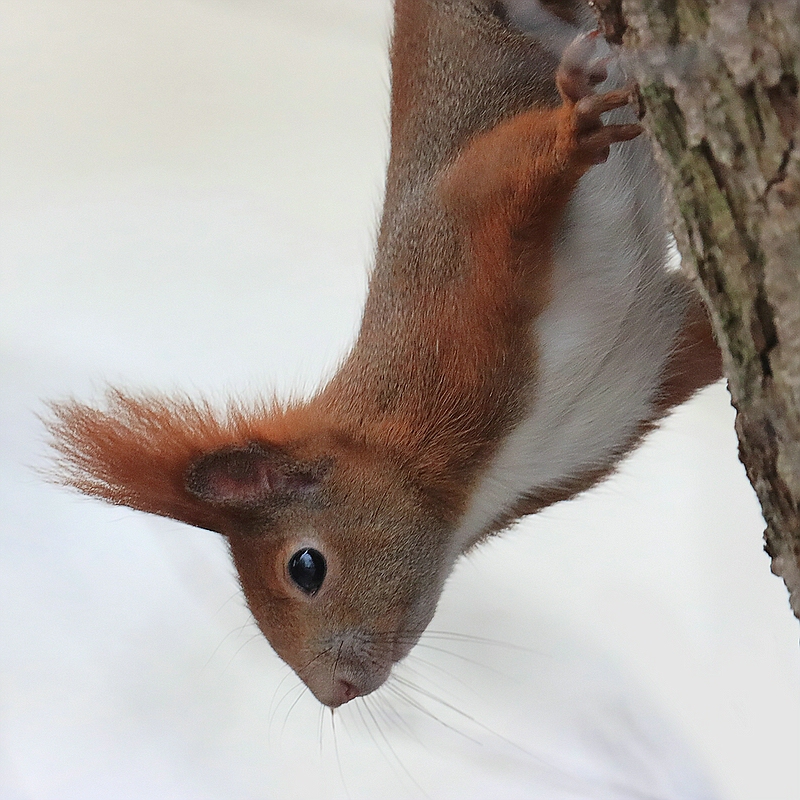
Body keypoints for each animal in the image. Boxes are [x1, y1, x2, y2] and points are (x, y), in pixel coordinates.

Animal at [47, 3, 720, 708]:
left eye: (305, 567)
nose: (334, 692)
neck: (479, 483)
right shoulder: (648, 362)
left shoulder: (449, 273)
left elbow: (503, 178)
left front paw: (574, 128)